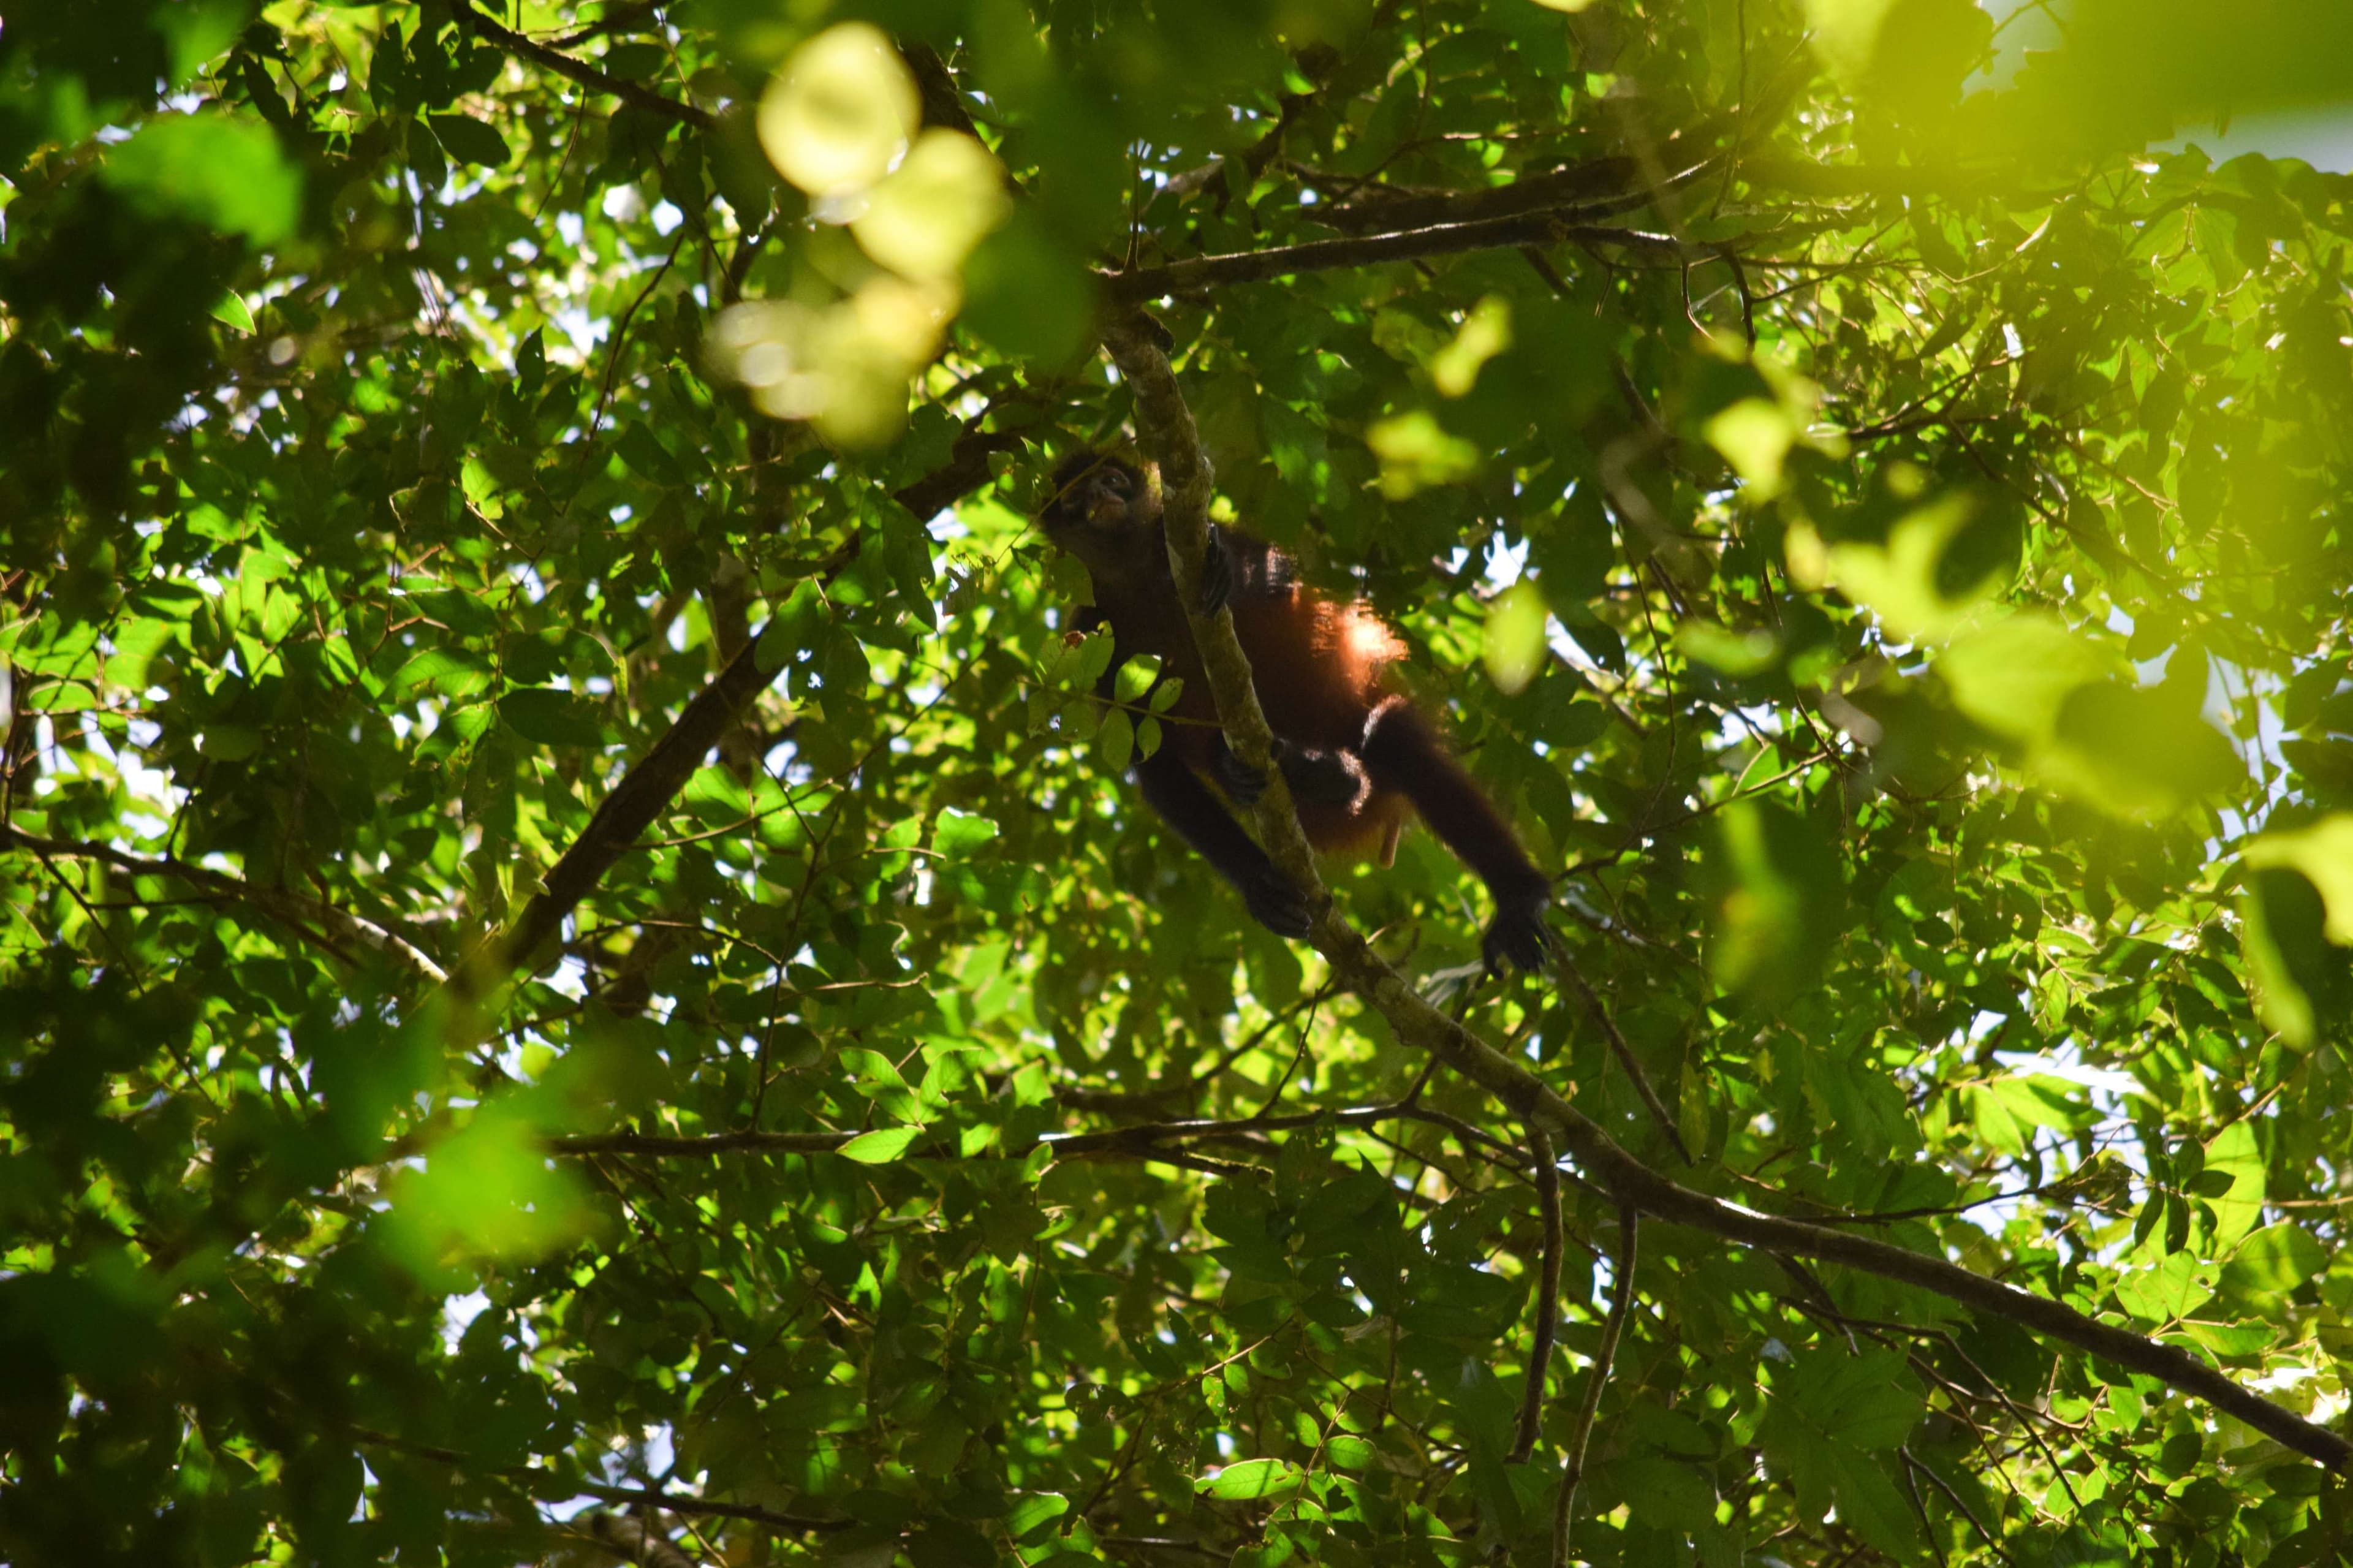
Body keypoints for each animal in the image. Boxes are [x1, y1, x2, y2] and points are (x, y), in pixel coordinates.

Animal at [1039, 450, 1554, 974]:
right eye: (1076, 497)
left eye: (1112, 479)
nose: (1100, 495)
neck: (1139, 581)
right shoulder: (1092, 631)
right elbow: (1157, 764)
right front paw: (1258, 884)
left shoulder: (1183, 534)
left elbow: (1274, 573)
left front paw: (1225, 570)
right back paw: (1317, 775)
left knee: (1396, 740)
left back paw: (1517, 896)